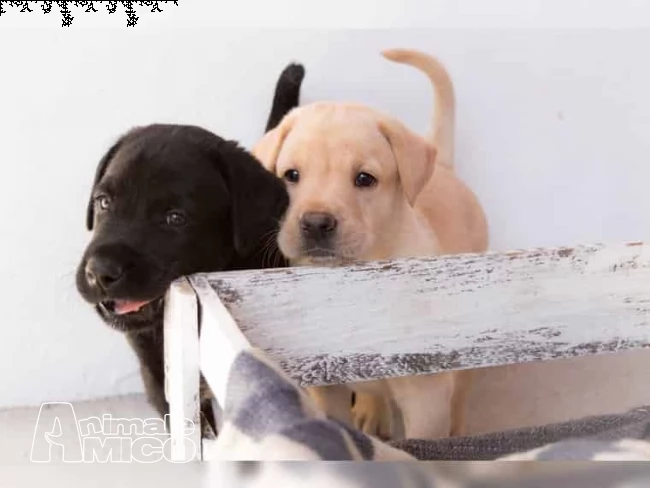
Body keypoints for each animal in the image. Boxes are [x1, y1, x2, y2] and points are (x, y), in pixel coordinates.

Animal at [253, 50, 486, 442]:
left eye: (365, 179)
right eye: (291, 175)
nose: (316, 223)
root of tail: (443, 165)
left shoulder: (425, 396)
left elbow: (424, 443)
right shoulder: (326, 383)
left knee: (464, 388)